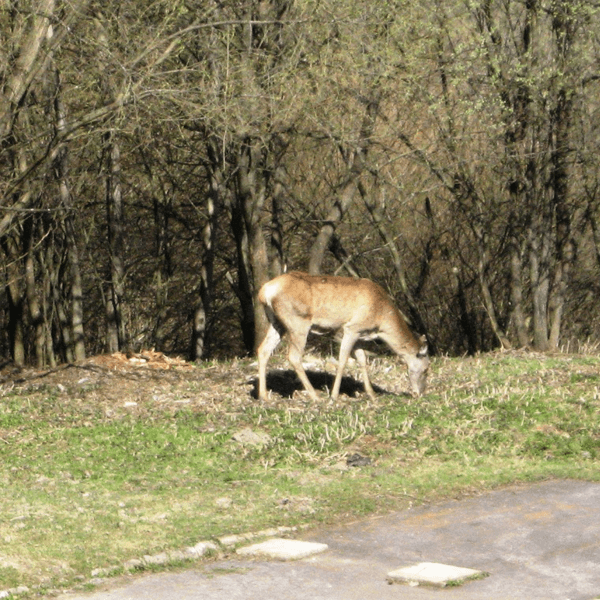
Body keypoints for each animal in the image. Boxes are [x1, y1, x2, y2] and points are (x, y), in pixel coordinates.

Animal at [255, 272, 428, 404]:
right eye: (426, 369)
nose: (420, 393)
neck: (381, 320)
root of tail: (265, 291)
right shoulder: (351, 328)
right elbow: (343, 360)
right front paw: (334, 396)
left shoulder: (359, 334)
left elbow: (362, 360)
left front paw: (372, 394)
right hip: (298, 322)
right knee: (294, 356)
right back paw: (315, 396)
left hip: (276, 322)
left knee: (263, 350)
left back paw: (263, 396)